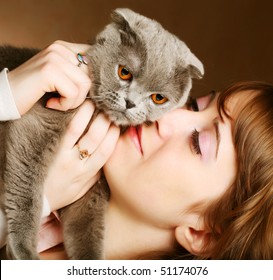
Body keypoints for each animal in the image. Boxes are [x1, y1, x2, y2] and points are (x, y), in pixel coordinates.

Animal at [0, 7, 202, 260]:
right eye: (124, 72)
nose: (130, 103)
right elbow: (26, 187)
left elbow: (87, 228)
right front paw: (23, 251)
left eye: (158, 98)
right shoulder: (38, 125)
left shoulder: (94, 185)